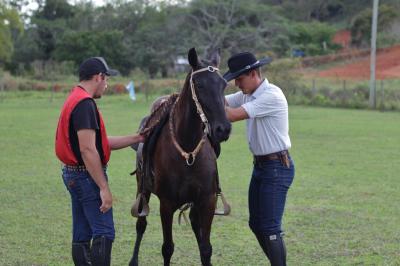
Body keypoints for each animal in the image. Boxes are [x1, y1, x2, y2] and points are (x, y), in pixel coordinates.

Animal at [130, 48, 231, 266]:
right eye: (200, 85)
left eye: (223, 84)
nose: (223, 129)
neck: (188, 150)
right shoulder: (166, 205)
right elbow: (167, 248)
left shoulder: (207, 201)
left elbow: (206, 248)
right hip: (143, 190)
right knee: (141, 224)